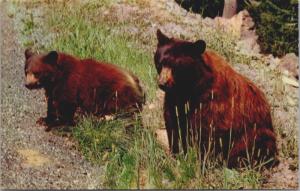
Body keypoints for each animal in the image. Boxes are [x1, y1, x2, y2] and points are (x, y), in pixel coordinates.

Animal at [156, 29, 278, 167]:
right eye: (160, 63)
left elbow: (207, 132)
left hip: (256, 132)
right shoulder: (174, 99)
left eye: (176, 67)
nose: (162, 83)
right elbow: (173, 124)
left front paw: (201, 161)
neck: (190, 88)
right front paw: (176, 155)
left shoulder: (212, 101)